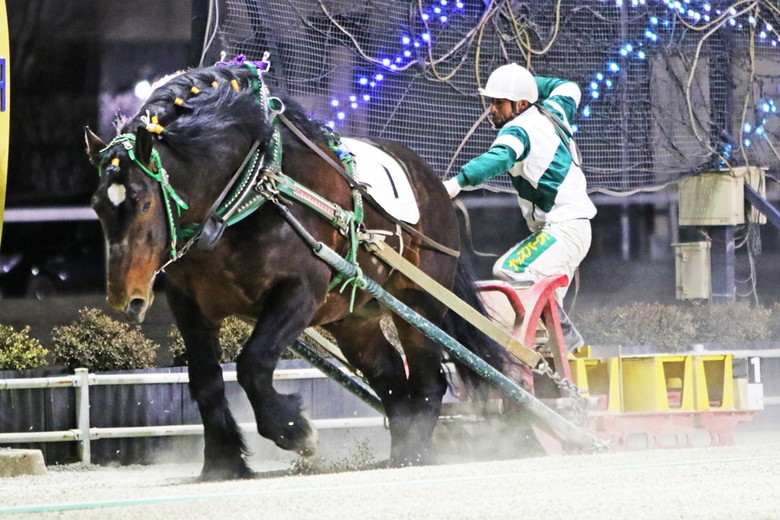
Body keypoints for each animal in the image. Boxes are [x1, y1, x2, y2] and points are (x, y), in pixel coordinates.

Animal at [84, 58, 511, 480]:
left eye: (143, 203)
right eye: (97, 205)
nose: (125, 297)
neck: (249, 193)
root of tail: (435, 185)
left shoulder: (300, 291)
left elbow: (253, 363)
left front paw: (293, 430)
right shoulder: (188, 301)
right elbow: (204, 379)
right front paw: (223, 462)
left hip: (420, 303)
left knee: (427, 380)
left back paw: (416, 454)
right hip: (351, 318)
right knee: (391, 378)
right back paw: (403, 447)